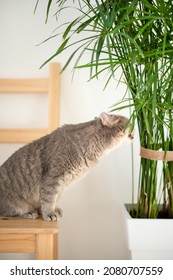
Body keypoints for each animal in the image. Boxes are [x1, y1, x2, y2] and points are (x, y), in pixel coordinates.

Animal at [0, 111, 134, 221]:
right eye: (129, 124)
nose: (134, 133)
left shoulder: (63, 185)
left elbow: (54, 198)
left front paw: (53, 210)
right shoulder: (53, 178)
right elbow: (49, 199)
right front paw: (49, 213)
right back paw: (28, 212)